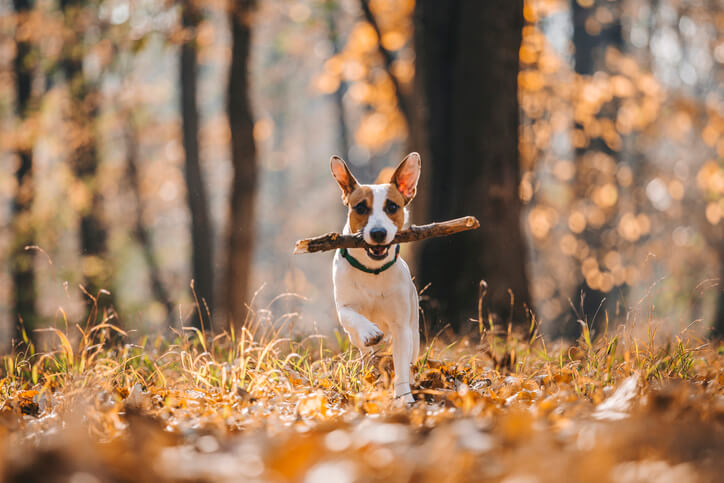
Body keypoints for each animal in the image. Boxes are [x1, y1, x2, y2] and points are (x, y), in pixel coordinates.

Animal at [330, 152, 422, 404]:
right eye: (361, 208)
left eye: (392, 206)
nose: (378, 233)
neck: (372, 270)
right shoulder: (343, 307)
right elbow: (352, 316)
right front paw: (370, 332)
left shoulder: (401, 327)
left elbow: (401, 366)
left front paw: (404, 397)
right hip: (353, 338)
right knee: (364, 351)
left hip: (415, 332)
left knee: (410, 357)